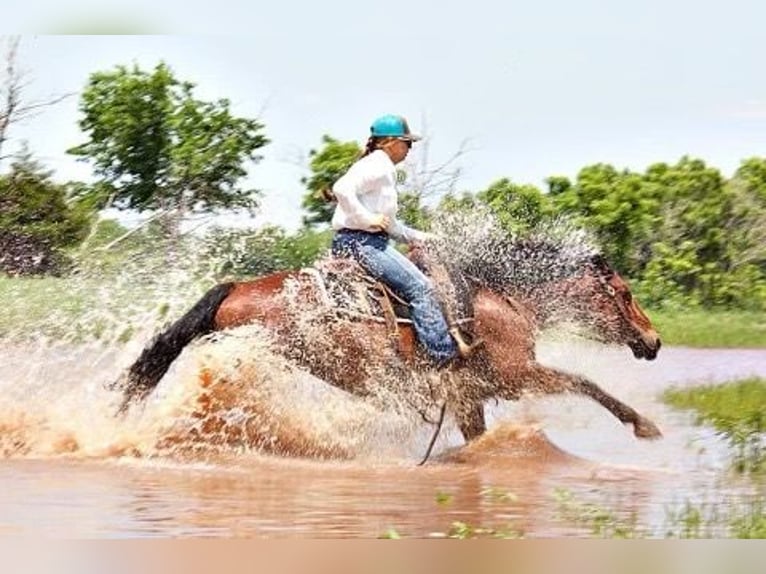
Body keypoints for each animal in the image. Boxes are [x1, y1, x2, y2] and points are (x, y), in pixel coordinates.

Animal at [111, 223, 664, 448]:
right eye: (625, 293)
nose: (654, 341)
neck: (502, 298)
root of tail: (236, 288)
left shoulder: (470, 397)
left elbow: (478, 437)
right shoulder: (517, 375)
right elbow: (585, 383)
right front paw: (644, 425)